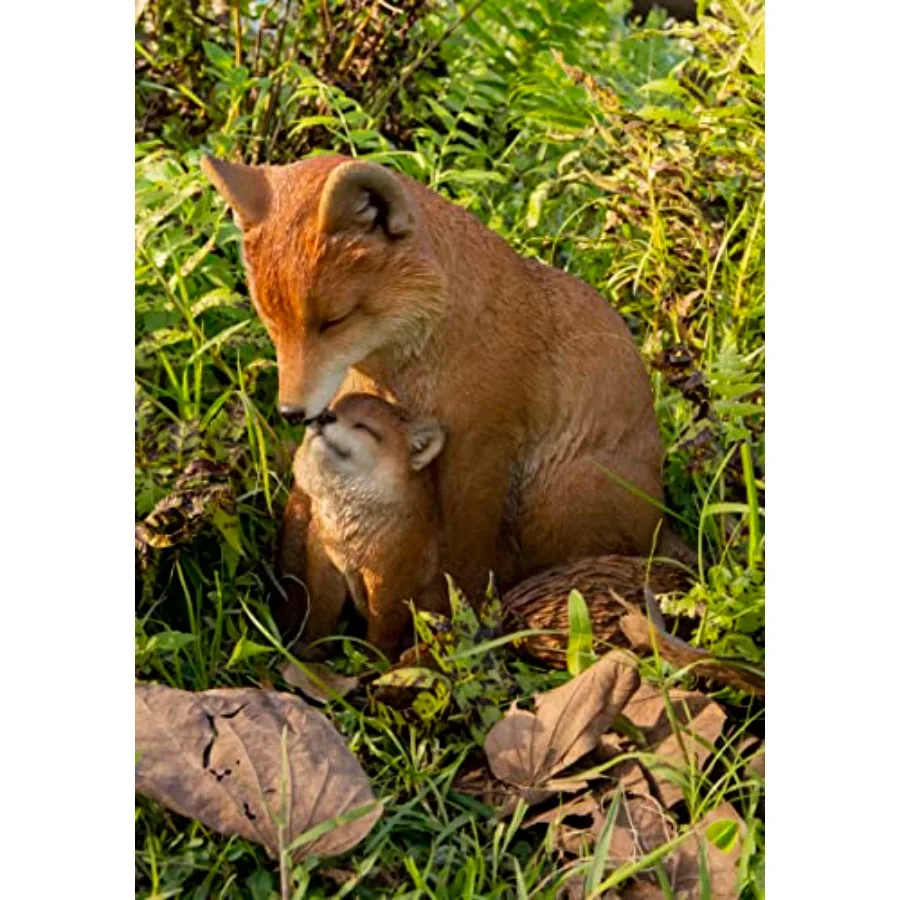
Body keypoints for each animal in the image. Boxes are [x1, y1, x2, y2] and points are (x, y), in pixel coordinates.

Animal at [292, 393, 447, 659]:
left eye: (363, 427)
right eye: (332, 408)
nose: (325, 416)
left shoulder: (389, 584)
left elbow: (381, 633)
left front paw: (374, 662)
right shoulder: (325, 565)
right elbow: (320, 615)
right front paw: (311, 650)